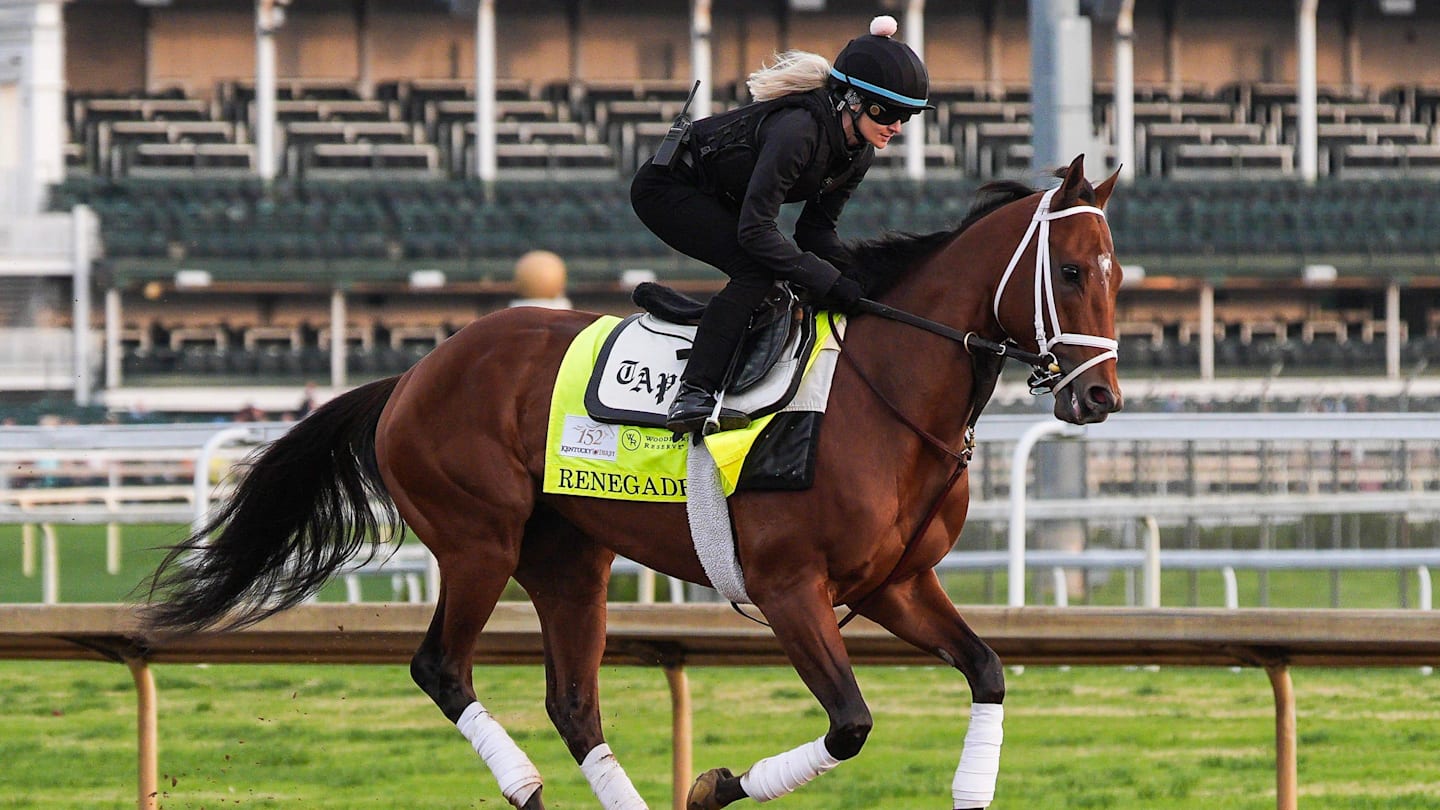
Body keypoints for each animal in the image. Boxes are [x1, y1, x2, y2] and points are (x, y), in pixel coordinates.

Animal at [142, 153, 1124, 810]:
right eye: (1072, 271)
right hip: (478, 541)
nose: (1101, 396)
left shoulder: (895, 583)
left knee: (574, 702)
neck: (879, 393)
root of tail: (414, 373)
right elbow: (850, 723)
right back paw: (523, 782)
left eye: (1117, 276)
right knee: (441, 666)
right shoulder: (788, 587)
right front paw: (715, 784)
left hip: (569, 560)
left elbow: (988, 671)